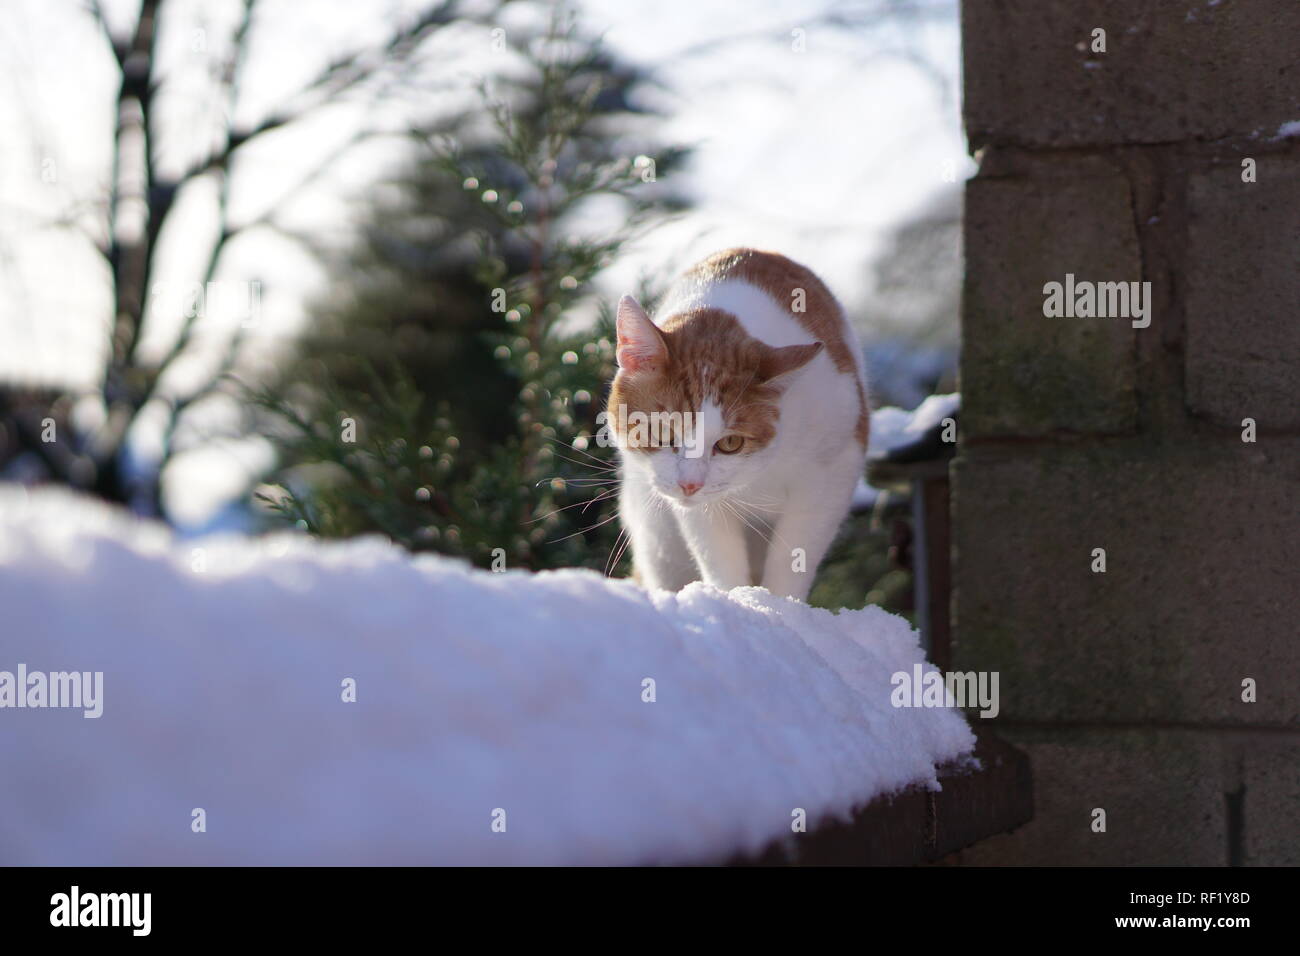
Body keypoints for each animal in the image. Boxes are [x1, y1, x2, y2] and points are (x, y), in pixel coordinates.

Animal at [603, 251, 868, 600]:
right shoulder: (702, 509)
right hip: (656, 533)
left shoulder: (832, 475)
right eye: (661, 432)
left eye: (730, 443)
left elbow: (793, 558)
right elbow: (720, 559)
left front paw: (781, 607)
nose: (690, 484)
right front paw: (738, 600)